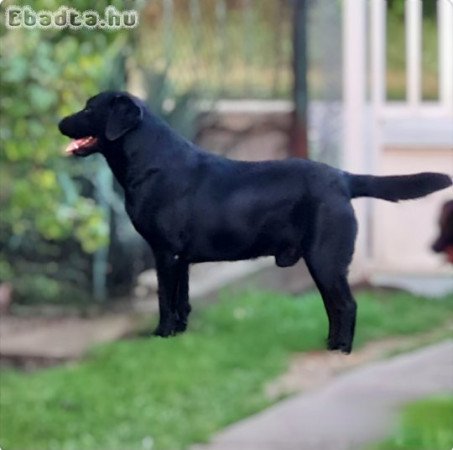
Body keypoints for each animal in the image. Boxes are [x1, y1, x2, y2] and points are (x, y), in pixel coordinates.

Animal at [59, 90, 448, 352]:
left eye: (90, 108)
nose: (59, 122)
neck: (150, 161)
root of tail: (342, 177)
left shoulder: (165, 253)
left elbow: (165, 300)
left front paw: (161, 336)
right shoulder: (180, 258)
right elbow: (182, 300)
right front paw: (180, 337)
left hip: (325, 258)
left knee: (347, 305)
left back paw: (340, 351)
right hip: (322, 262)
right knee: (334, 306)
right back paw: (328, 343)